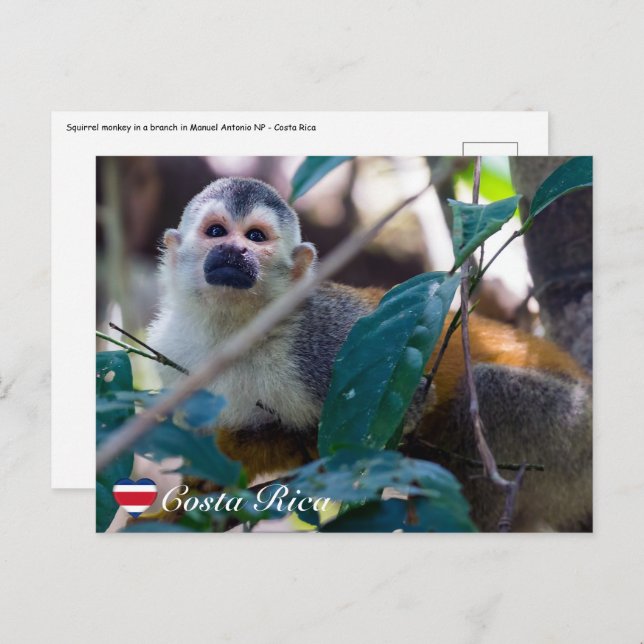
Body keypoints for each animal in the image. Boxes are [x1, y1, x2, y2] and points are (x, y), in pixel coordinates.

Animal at [147, 177, 592, 532]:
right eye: (217, 231)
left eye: (255, 237)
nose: (235, 250)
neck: (235, 330)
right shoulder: (174, 351)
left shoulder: (321, 339)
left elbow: (385, 424)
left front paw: (233, 456)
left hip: (571, 438)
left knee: (487, 388)